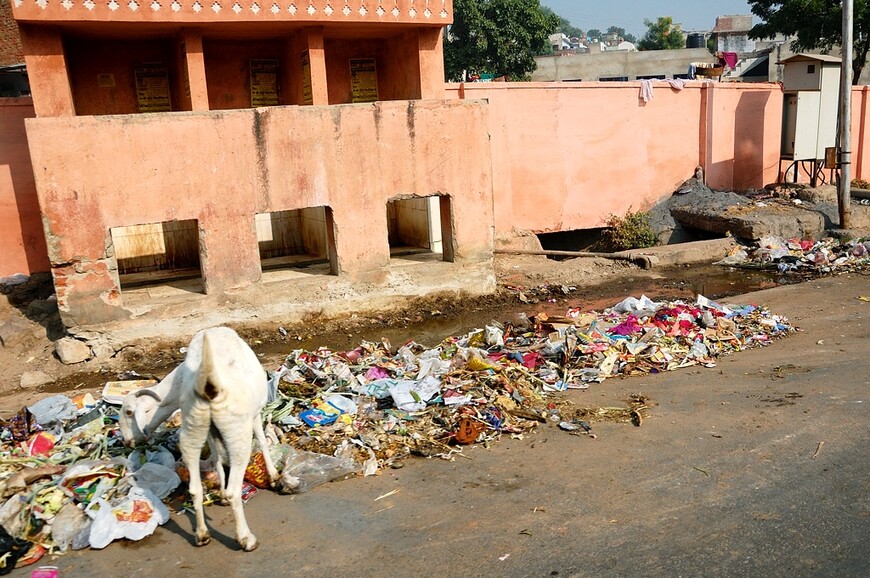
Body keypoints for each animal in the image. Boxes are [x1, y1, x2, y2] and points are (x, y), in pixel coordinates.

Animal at [117, 324, 278, 548]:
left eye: (129, 412)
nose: (127, 441)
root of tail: (208, 383)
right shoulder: (253, 415)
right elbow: (262, 441)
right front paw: (274, 476)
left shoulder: (210, 430)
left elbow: (217, 457)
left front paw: (221, 492)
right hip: (237, 429)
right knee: (235, 489)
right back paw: (246, 538)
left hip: (193, 429)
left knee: (194, 488)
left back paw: (202, 534)